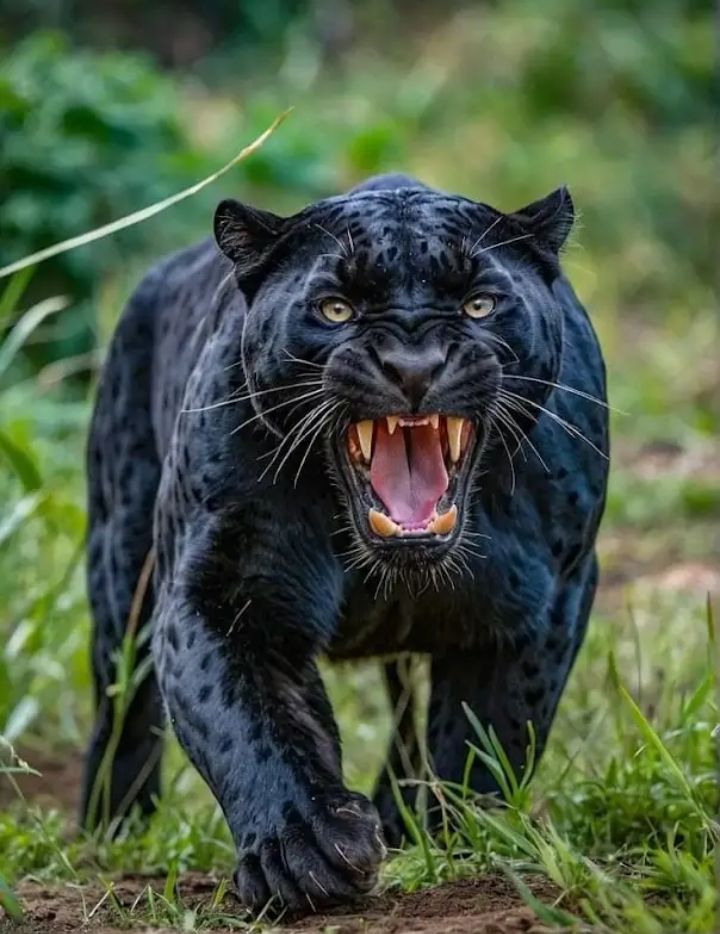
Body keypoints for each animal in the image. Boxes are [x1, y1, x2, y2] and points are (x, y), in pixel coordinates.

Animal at [82, 172, 609, 913]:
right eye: (334, 309)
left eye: (479, 304)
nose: (413, 365)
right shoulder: (221, 591)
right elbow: (250, 722)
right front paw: (302, 850)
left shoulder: (544, 600)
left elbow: (487, 732)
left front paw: (448, 844)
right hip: (120, 575)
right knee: (122, 708)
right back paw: (110, 833)